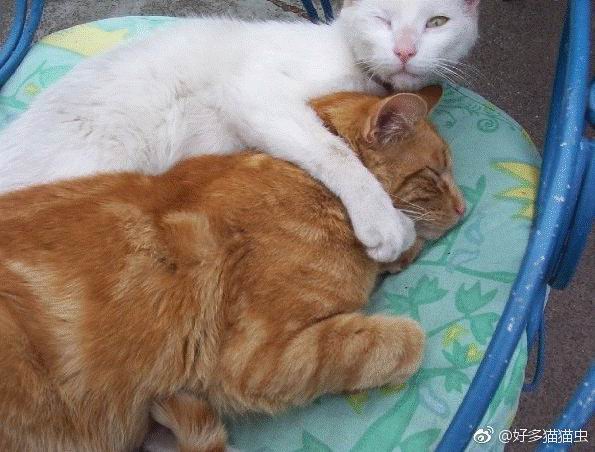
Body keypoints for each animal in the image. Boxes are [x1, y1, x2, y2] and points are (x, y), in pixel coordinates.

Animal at [0, 0, 479, 264]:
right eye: (382, 20)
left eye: (437, 22)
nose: (405, 51)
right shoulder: (252, 92)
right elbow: (333, 150)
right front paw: (382, 219)